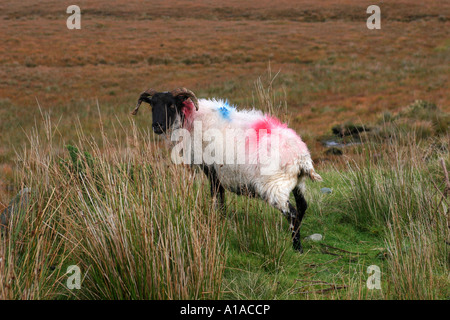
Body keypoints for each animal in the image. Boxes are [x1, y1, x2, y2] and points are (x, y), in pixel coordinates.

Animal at [132, 87, 322, 252]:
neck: (193, 119)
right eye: (152, 105)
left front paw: (219, 220)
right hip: (298, 182)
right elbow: (221, 197)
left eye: (171, 105)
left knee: (292, 213)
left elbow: (217, 196)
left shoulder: (212, 170)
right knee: (303, 206)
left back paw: (296, 247)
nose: (157, 126)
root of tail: (302, 157)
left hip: (274, 185)